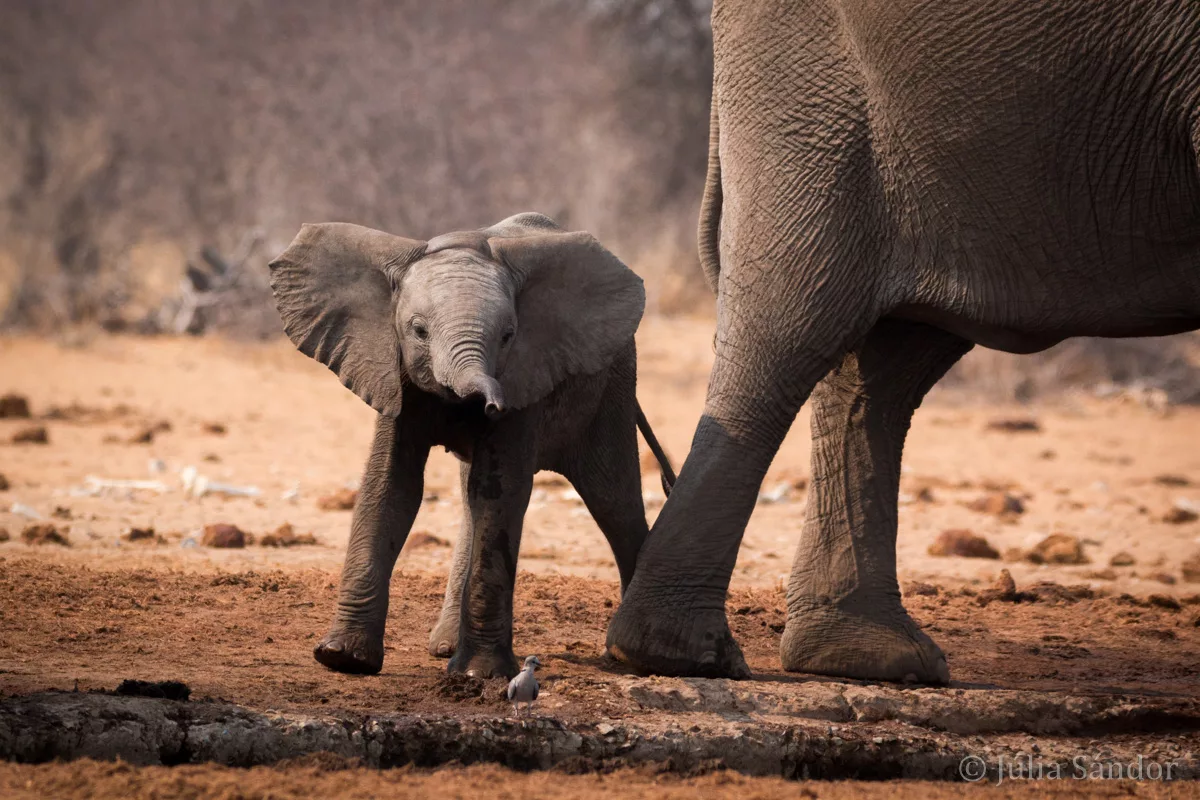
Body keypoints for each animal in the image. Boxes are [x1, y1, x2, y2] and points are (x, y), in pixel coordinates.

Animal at [269, 212, 676, 678]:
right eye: (418, 331)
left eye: (509, 336)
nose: (488, 405)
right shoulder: (391, 370)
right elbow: (391, 487)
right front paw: (342, 658)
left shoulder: (524, 373)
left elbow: (498, 492)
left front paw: (480, 674)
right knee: (472, 500)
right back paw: (445, 647)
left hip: (612, 388)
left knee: (613, 502)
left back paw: (626, 655)